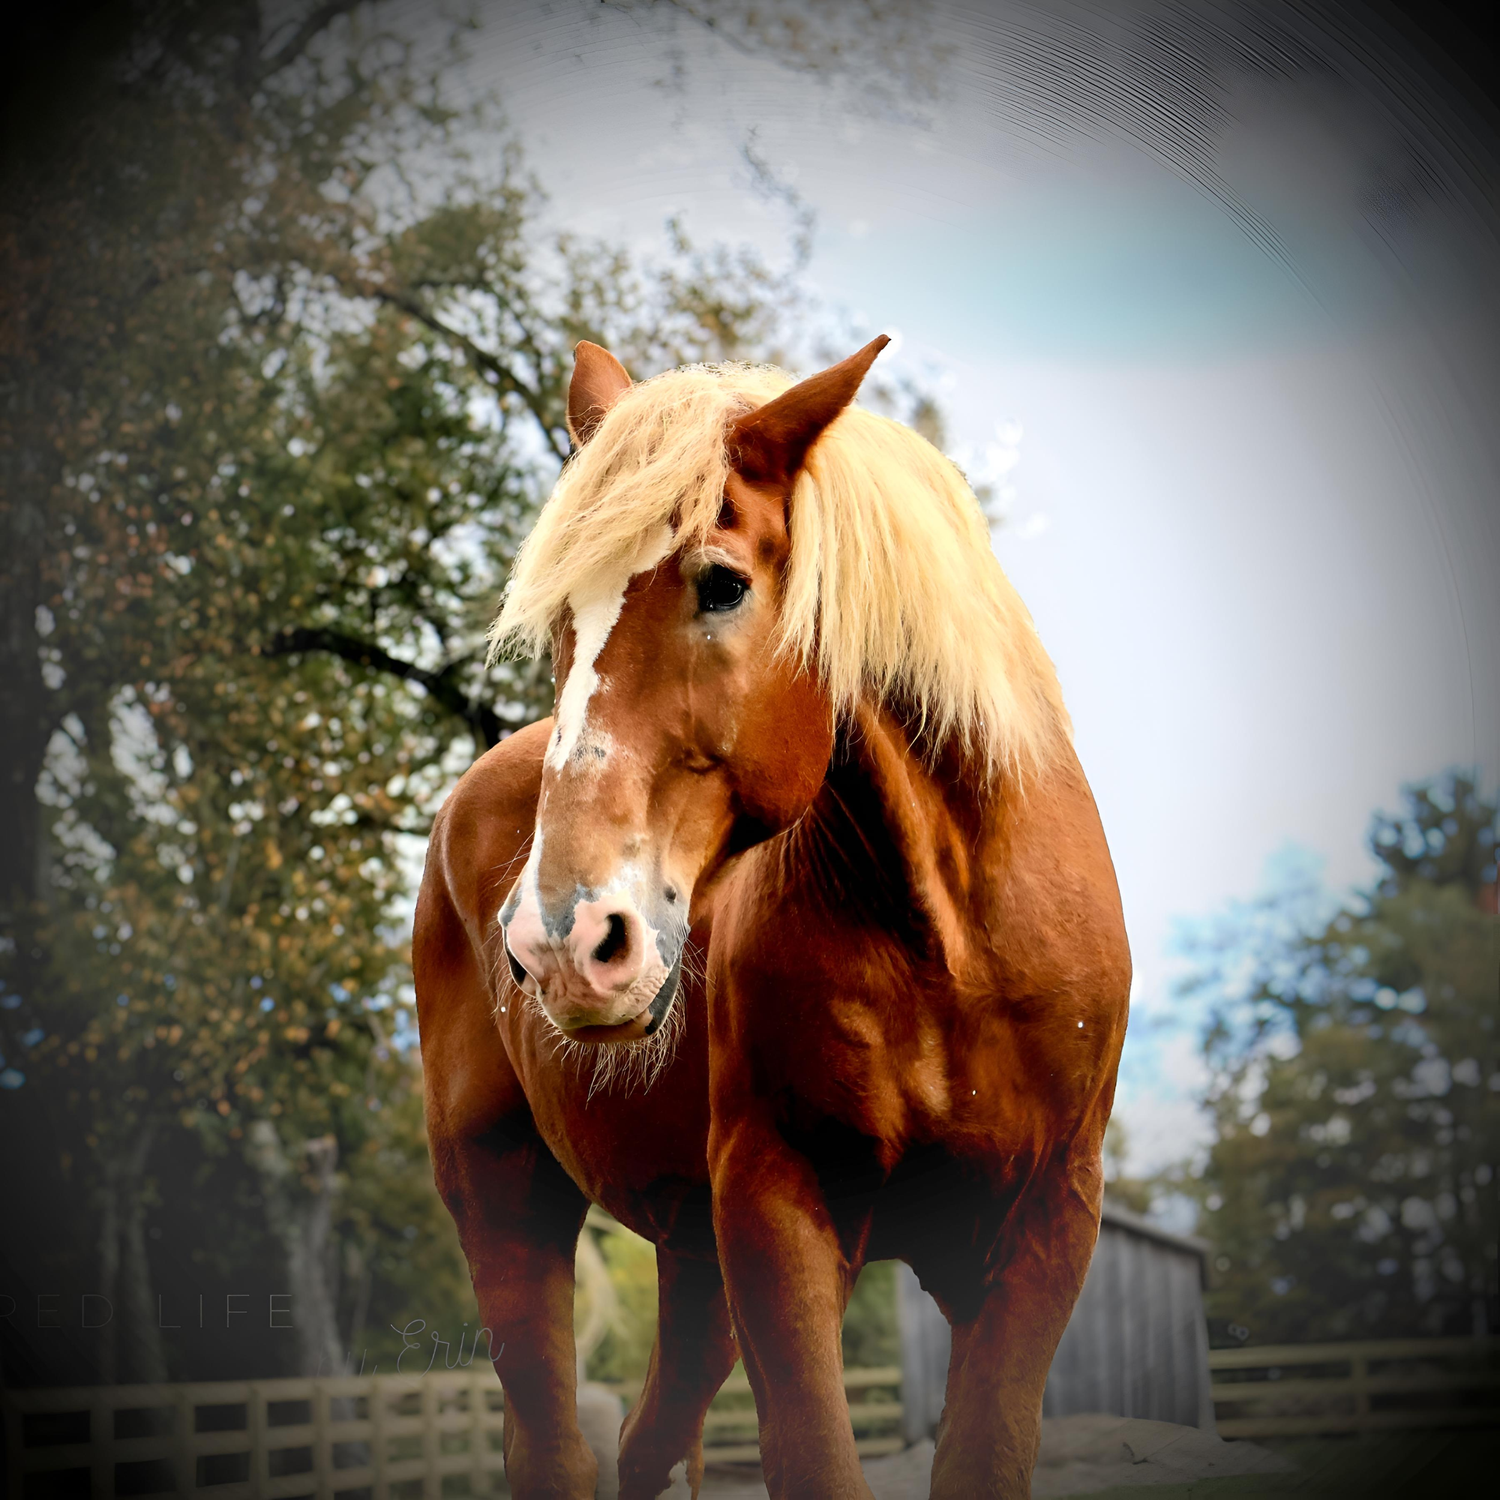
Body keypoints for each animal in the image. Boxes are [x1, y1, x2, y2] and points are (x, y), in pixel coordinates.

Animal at [413, 335, 1130, 1500]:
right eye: (563, 617)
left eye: (722, 584)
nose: (560, 943)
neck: (953, 939)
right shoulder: (775, 1207)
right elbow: (812, 1459)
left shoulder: (1041, 1229)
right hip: (503, 1196)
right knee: (553, 1441)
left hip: (692, 1261)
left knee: (644, 1441)